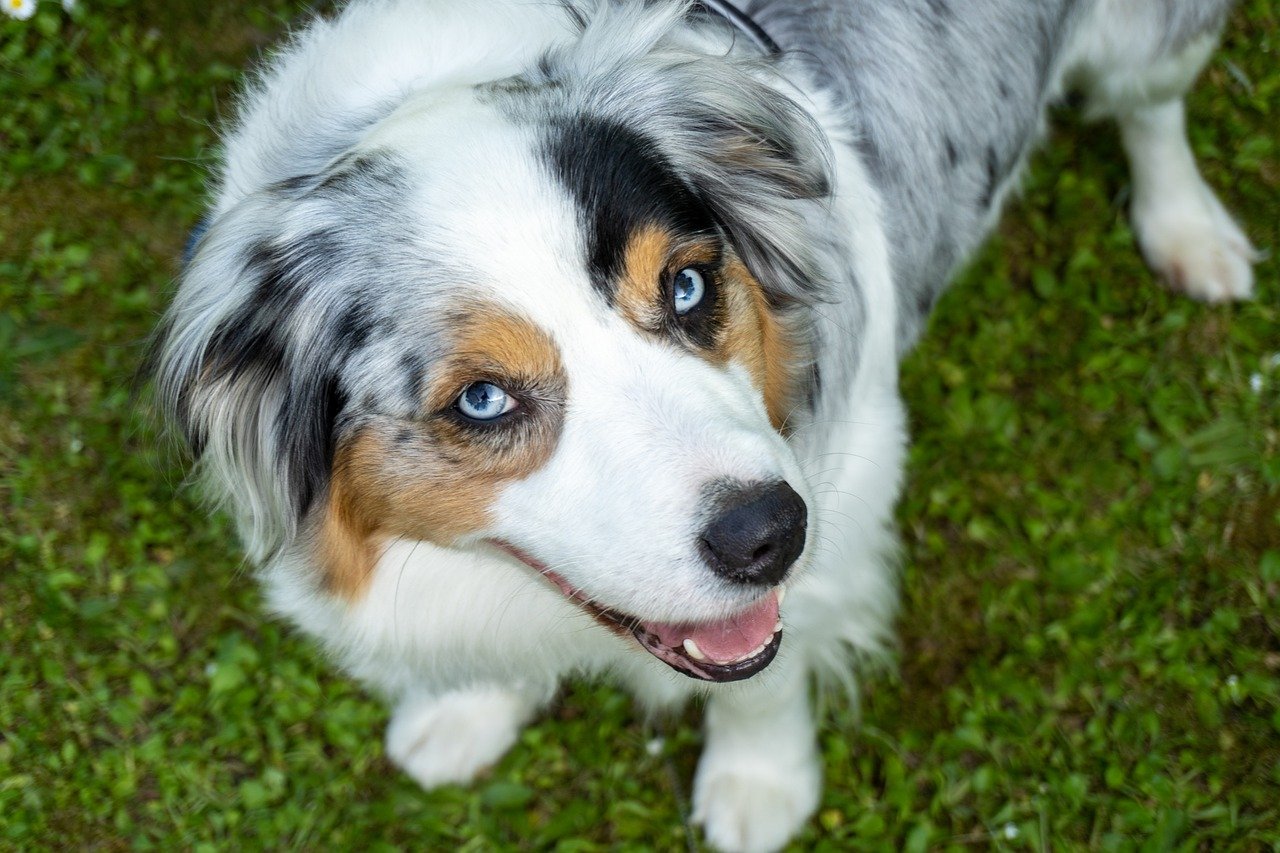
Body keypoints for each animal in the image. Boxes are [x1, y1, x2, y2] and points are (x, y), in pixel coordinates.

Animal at [147, 3, 1249, 845]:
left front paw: (758, 788)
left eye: (686, 286)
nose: (769, 532)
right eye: (482, 399)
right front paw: (462, 711)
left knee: (1152, 107)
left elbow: (761, 679)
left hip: (1146, 38)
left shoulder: (846, 492)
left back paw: (1188, 230)